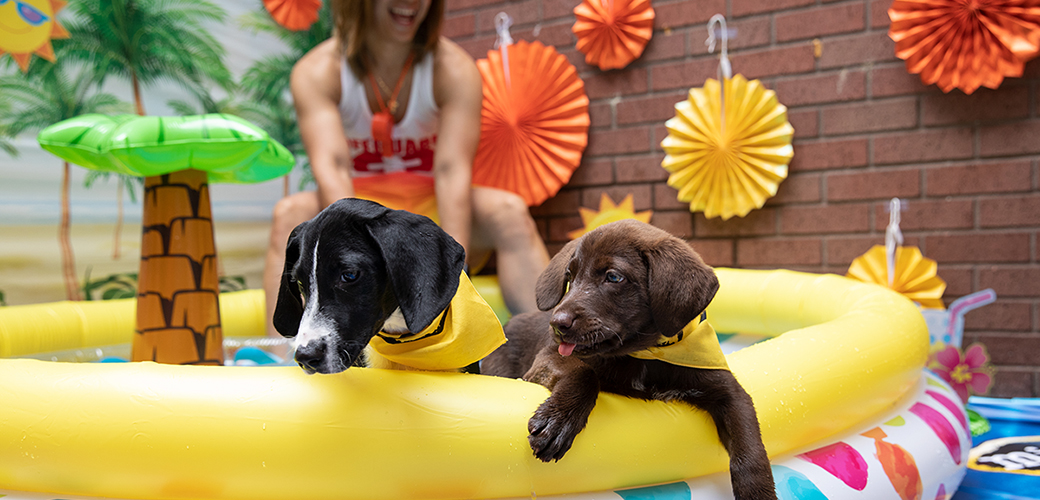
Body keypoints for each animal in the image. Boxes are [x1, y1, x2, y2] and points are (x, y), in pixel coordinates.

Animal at [482, 220, 777, 498]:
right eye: (570, 276)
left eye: (613, 277)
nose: (557, 324)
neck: (647, 356)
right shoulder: (547, 356)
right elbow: (584, 373)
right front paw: (558, 421)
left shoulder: (730, 392)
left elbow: (750, 449)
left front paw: (757, 492)